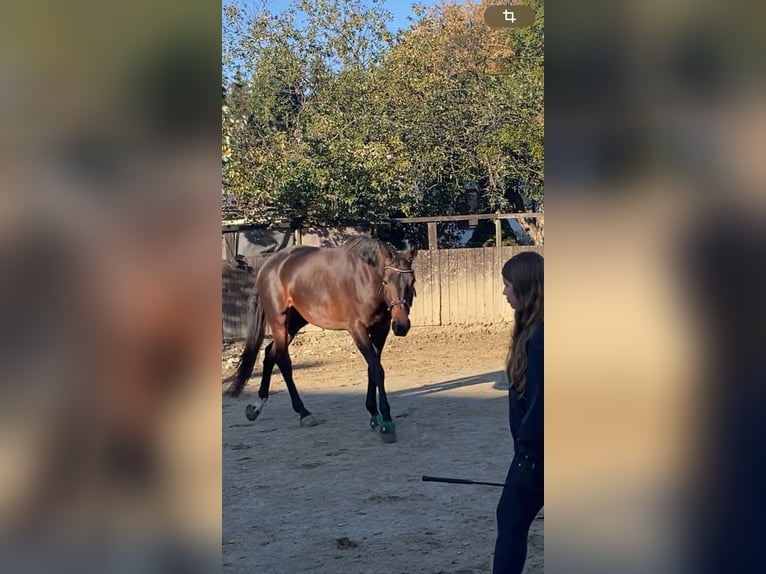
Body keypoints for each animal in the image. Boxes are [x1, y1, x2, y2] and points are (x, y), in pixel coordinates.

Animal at [226, 236, 420, 444]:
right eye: (385, 281)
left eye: (412, 280)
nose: (401, 325)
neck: (365, 279)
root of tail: (268, 266)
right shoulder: (357, 329)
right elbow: (377, 370)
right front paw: (387, 422)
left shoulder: (380, 330)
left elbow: (373, 369)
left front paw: (374, 414)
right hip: (279, 320)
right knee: (283, 360)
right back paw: (304, 413)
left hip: (295, 322)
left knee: (270, 354)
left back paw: (257, 406)